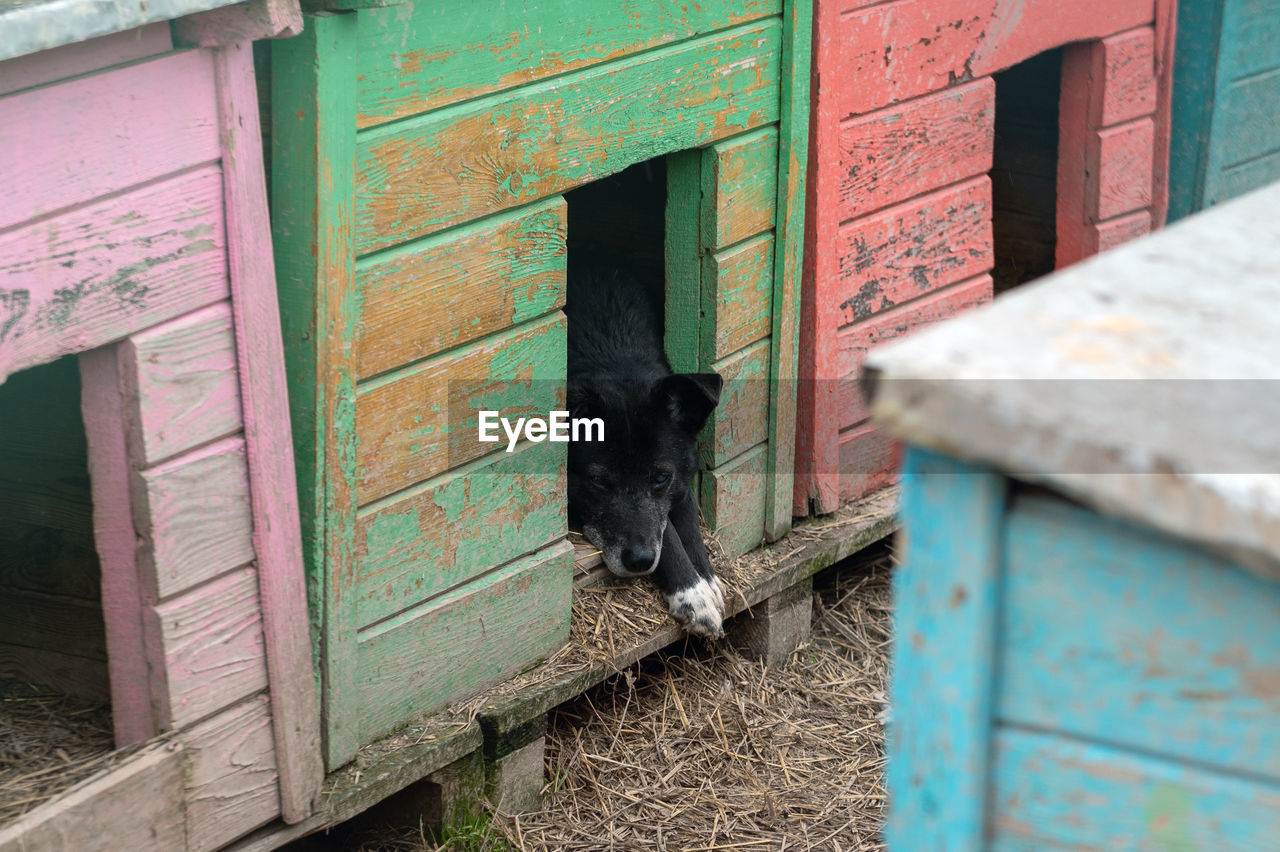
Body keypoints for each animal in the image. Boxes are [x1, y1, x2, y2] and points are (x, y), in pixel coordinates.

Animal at [565, 258, 727, 637]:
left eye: (660, 478)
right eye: (598, 482)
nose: (639, 561)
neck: (613, 360)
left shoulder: (681, 477)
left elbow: (686, 522)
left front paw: (707, 580)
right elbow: (668, 537)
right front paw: (693, 595)